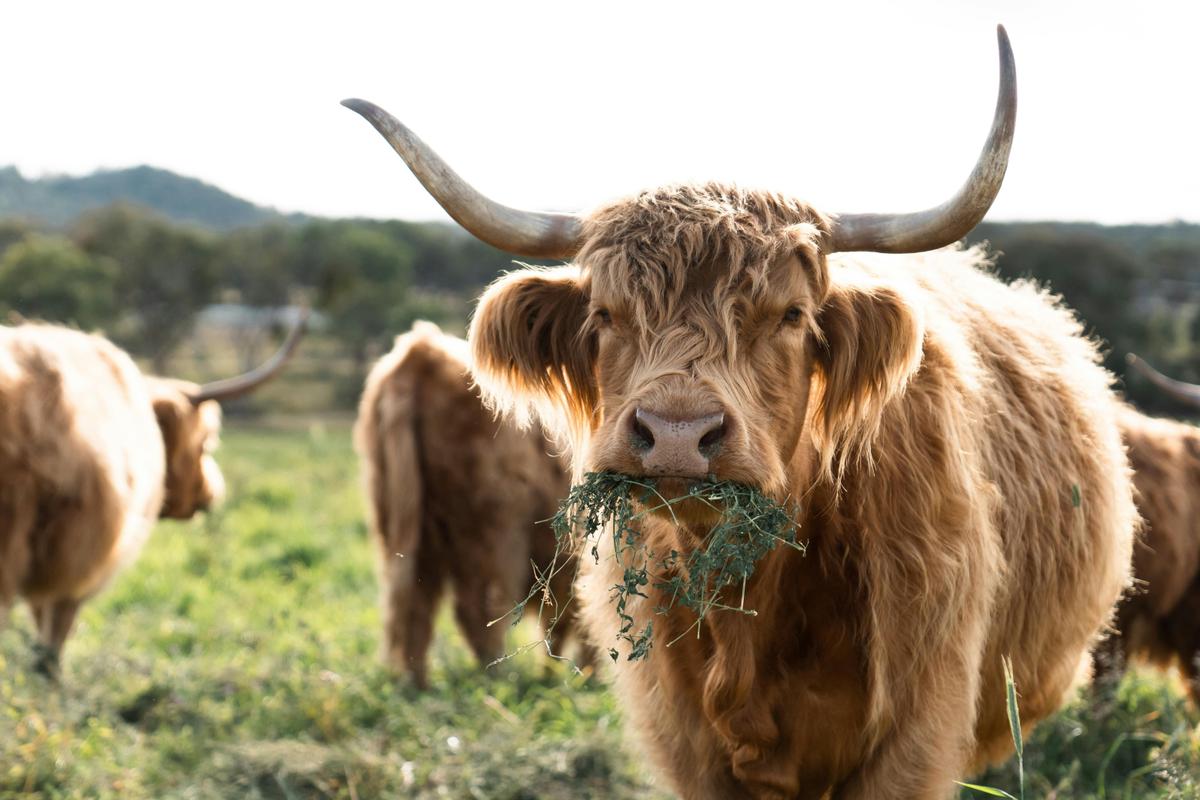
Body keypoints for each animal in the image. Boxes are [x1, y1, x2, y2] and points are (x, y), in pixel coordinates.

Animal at [355, 321, 588, 689]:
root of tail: (422, 353)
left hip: (406, 530)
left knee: (414, 605)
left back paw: (417, 684)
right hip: (492, 534)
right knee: (480, 609)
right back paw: (496, 679)